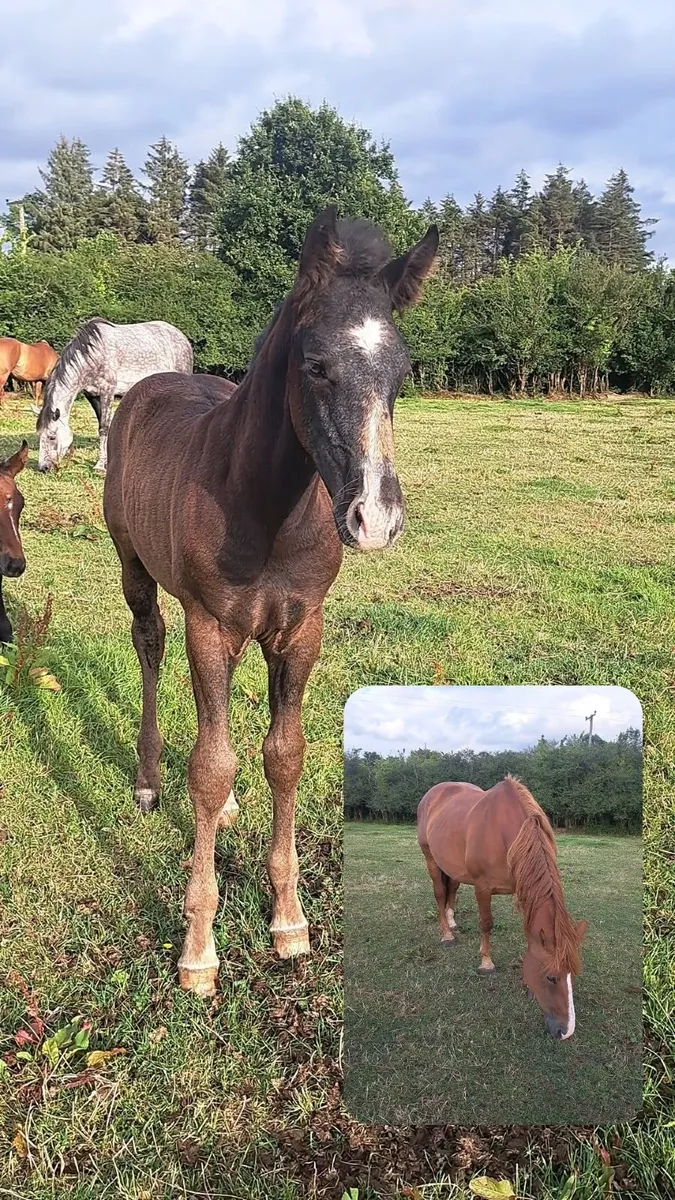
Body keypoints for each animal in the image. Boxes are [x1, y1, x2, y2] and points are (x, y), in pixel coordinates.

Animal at [35, 319, 193, 474]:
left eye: (52, 437)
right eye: (39, 435)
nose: (44, 468)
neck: (93, 355)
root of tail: (182, 337)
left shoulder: (107, 392)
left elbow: (104, 428)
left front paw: (100, 466)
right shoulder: (92, 396)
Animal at [103, 207, 439, 997]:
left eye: (402, 372)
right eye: (314, 365)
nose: (375, 519)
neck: (264, 506)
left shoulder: (300, 630)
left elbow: (281, 755)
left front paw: (288, 919)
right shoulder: (208, 623)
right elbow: (210, 764)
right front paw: (198, 950)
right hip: (136, 568)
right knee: (150, 647)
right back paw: (148, 783)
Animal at [417, 775, 588, 1039]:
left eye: (572, 975)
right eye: (551, 977)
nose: (565, 1032)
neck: (507, 834)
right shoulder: (482, 887)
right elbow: (486, 923)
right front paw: (486, 963)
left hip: (452, 866)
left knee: (452, 888)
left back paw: (453, 923)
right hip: (431, 860)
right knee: (439, 893)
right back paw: (446, 935)